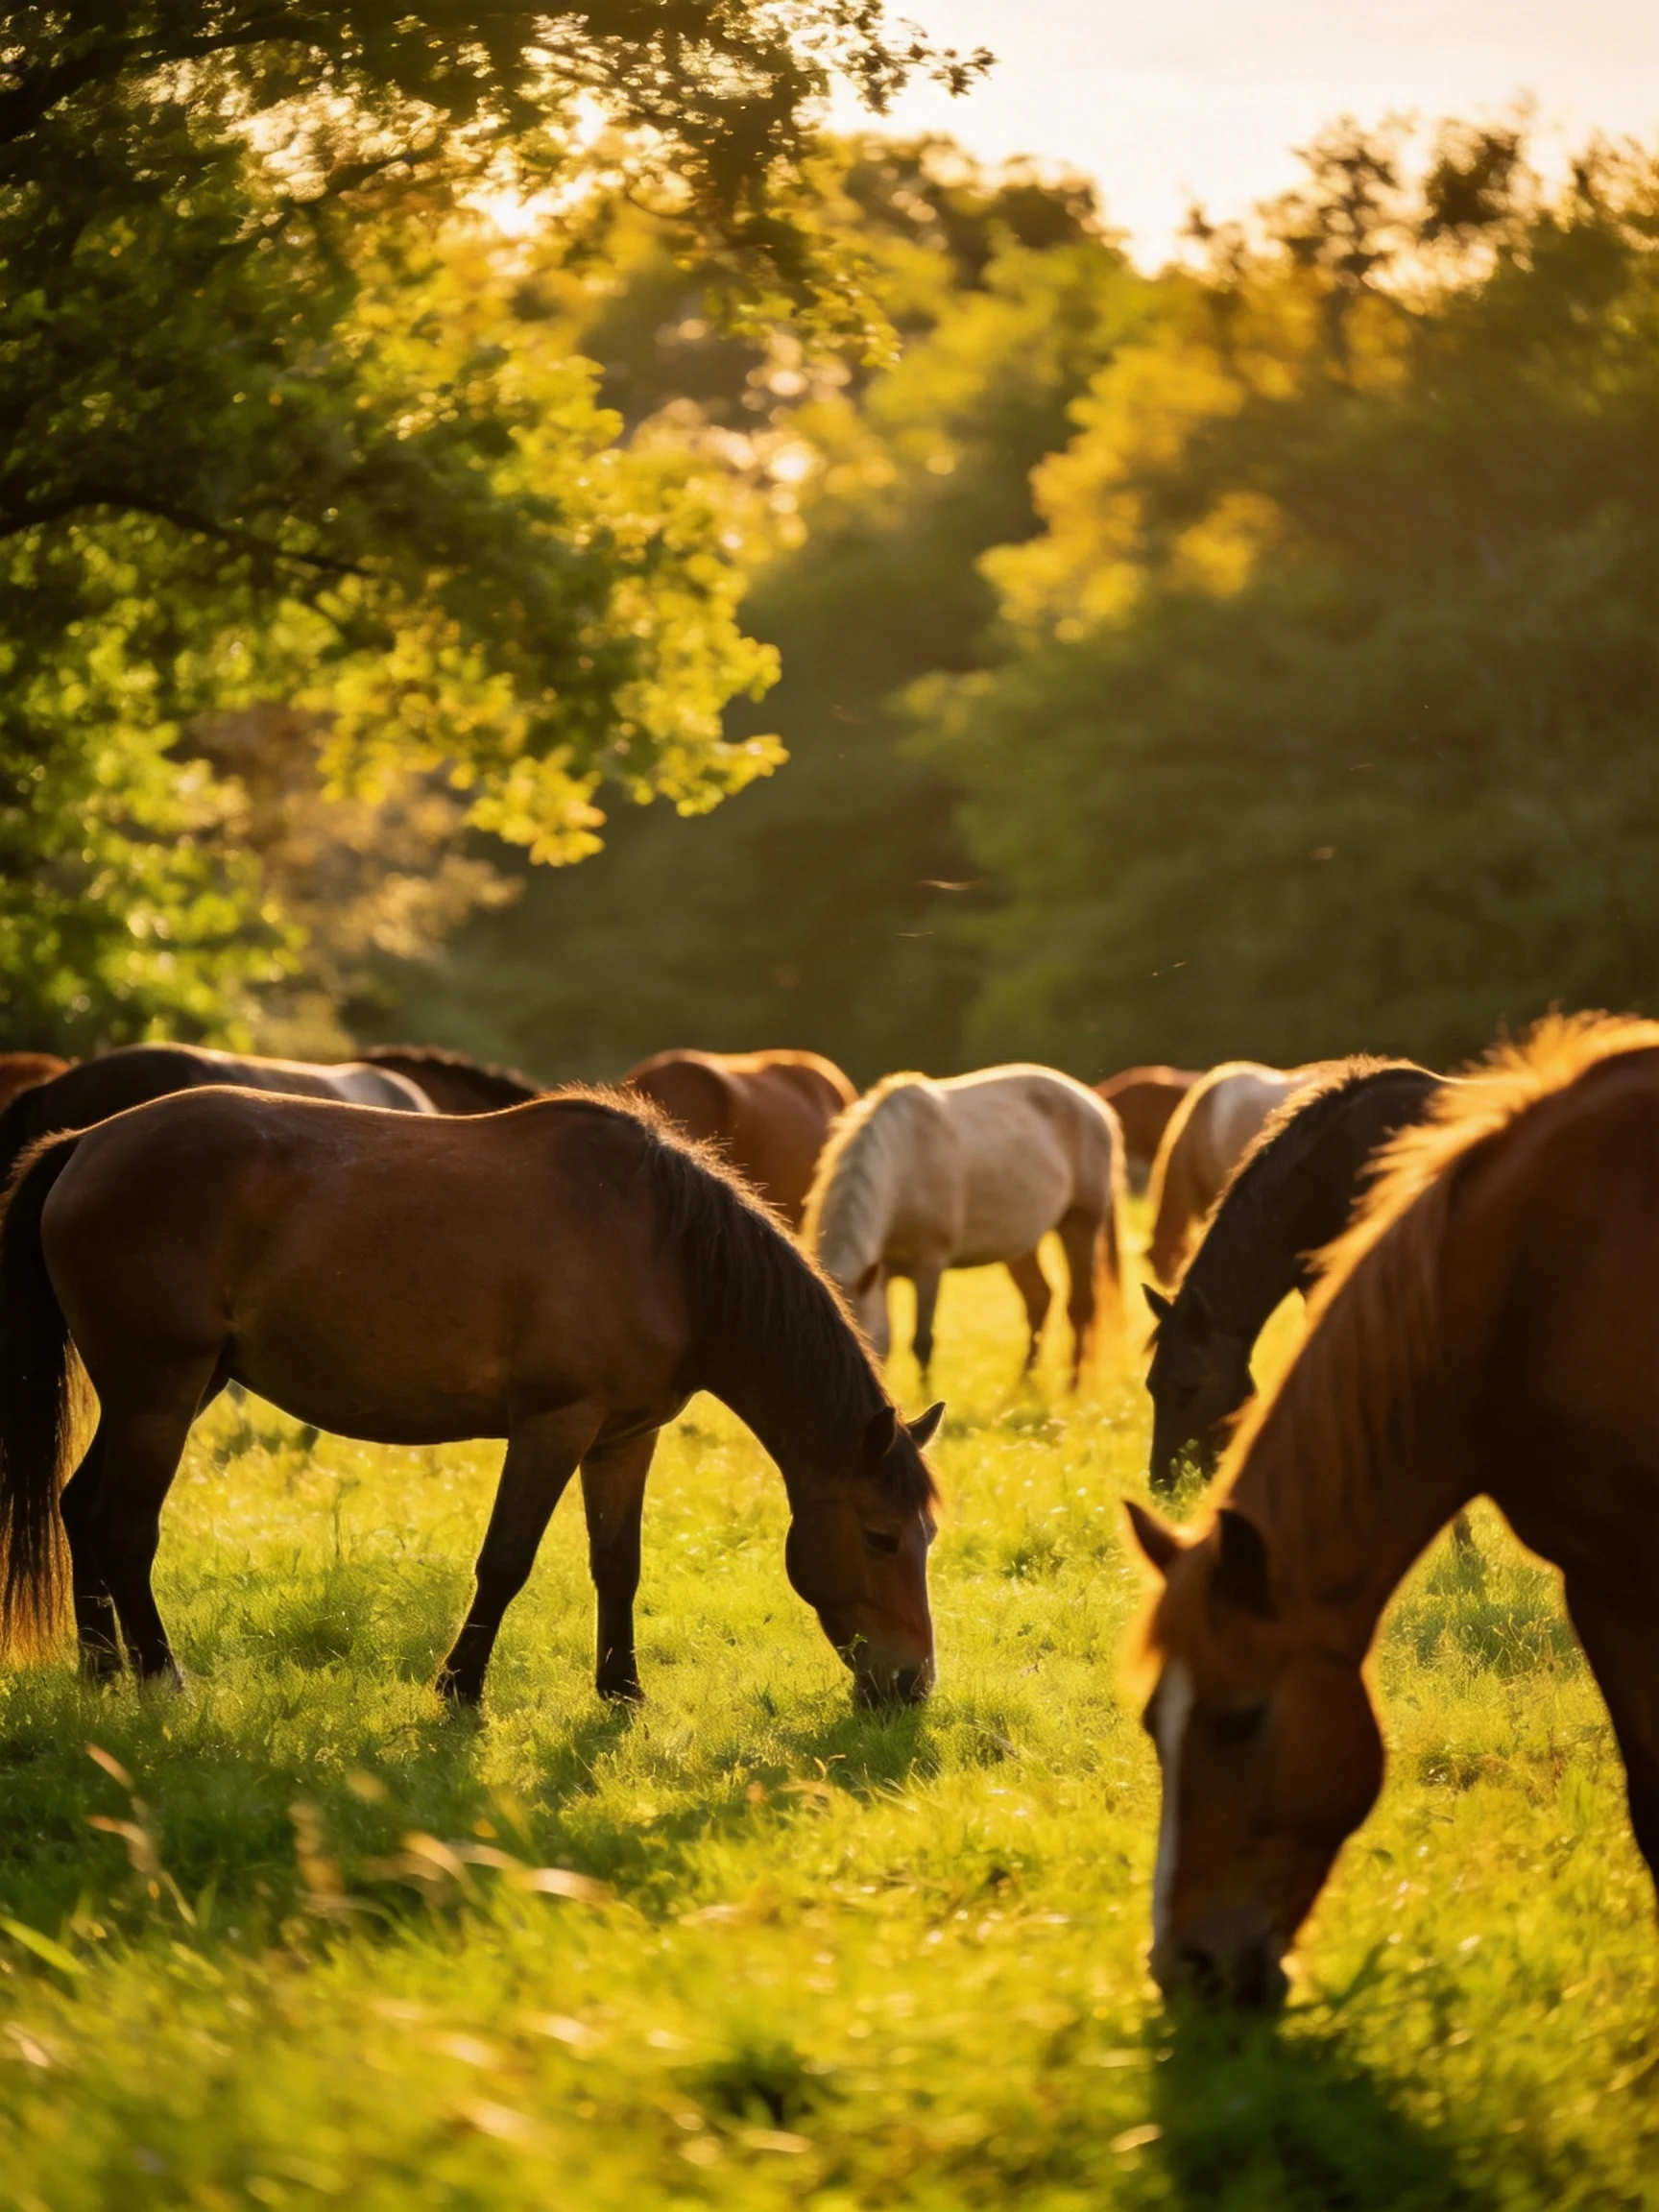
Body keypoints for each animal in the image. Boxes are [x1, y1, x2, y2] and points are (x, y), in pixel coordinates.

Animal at [0, 1086, 941, 1709]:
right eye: (881, 1536)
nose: (913, 1682)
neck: (667, 1255)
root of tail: (84, 1143)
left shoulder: (624, 1439)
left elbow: (619, 1565)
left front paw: (622, 1692)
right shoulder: (554, 1426)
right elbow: (506, 1560)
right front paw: (459, 1689)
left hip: (167, 1392)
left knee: (80, 1507)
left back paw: (102, 1673)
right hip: (159, 1393)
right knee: (125, 1526)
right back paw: (163, 1681)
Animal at [805, 1065, 1126, 1384]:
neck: (902, 1167)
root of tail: (1097, 1107)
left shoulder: (930, 1265)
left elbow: (923, 1343)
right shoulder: (882, 1272)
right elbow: (890, 1339)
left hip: (1079, 1226)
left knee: (1081, 1306)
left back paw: (1072, 1386)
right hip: (1021, 1245)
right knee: (1040, 1300)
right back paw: (1024, 1384)